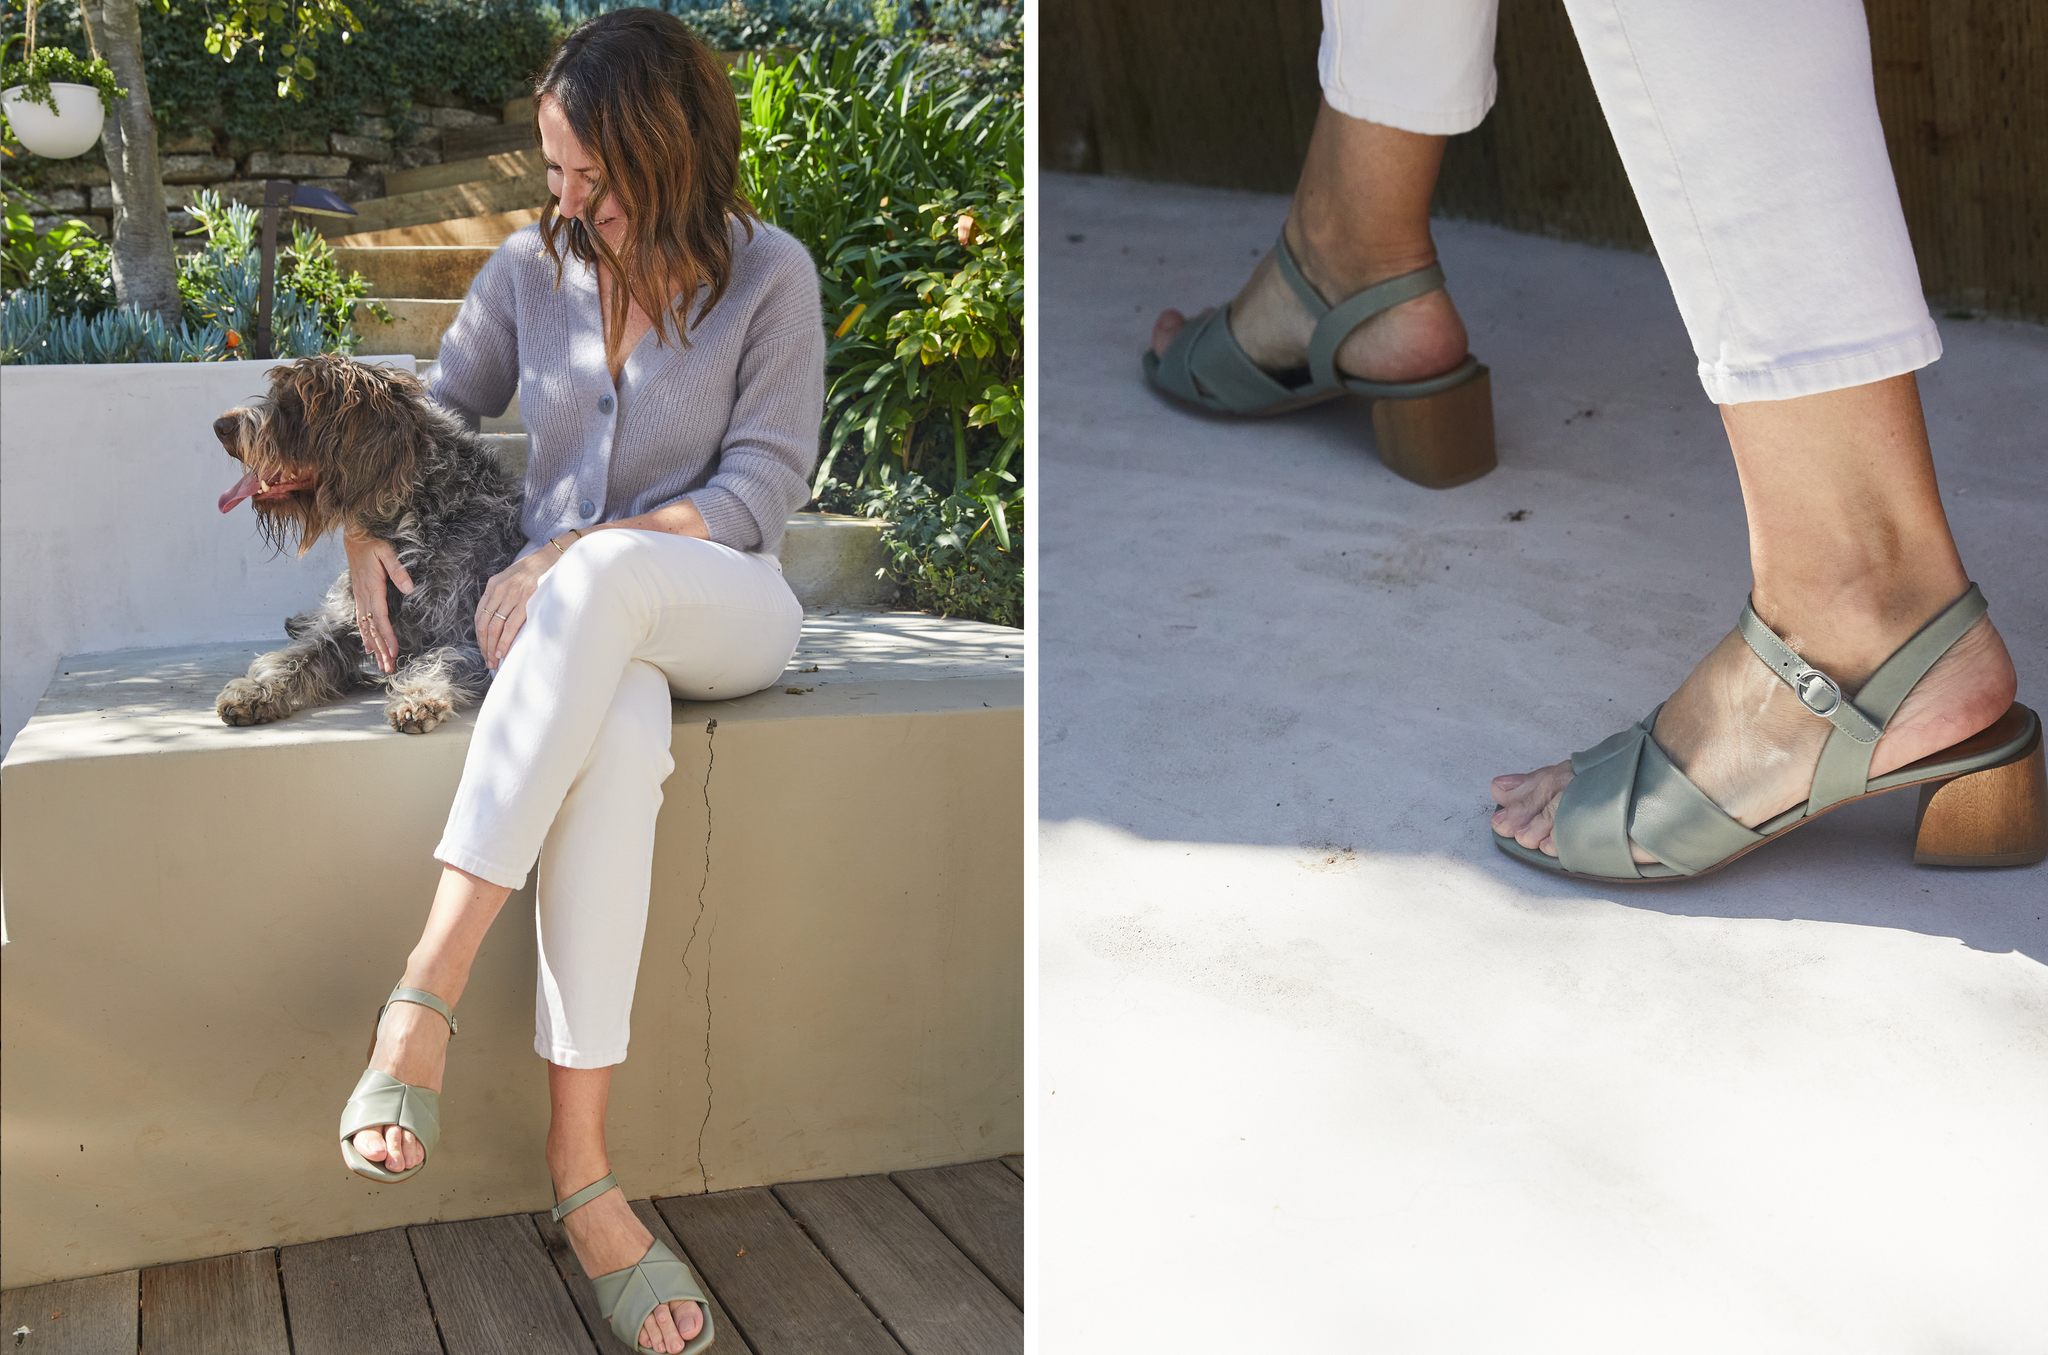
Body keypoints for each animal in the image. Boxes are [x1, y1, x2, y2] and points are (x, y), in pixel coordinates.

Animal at [208, 350, 524, 732]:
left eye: (296, 404)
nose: (220, 426)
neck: (408, 520)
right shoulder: (353, 620)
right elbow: (300, 654)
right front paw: (256, 689)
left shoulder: (475, 635)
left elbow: (442, 657)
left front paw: (419, 696)